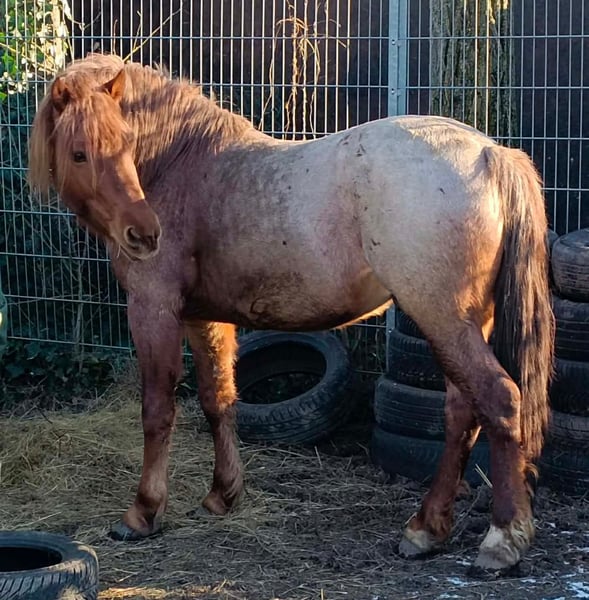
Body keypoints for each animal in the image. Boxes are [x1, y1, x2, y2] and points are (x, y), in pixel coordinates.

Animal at [28, 53, 553, 575]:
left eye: (124, 144)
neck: (182, 164)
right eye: (80, 153)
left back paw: (501, 540)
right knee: (461, 412)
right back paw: (425, 530)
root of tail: (488, 153)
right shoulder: (204, 318)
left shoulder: (153, 309)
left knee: (501, 400)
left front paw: (142, 513)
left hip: (442, 318)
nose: (144, 234)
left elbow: (158, 411)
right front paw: (223, 495)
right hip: (461, 324)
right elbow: (219, 400)